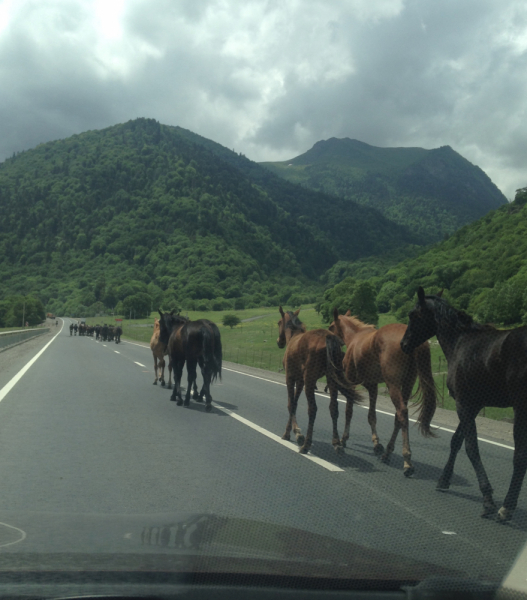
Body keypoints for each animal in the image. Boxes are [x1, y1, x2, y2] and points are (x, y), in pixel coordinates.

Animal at [276, 308, 364, 452]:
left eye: (279, 322)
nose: (279, 342)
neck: (294, 338)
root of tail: (328, 338)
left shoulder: (290, 378)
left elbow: (291, 404)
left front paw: (291, 433)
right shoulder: (300, 381)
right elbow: (294, 403)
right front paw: (296, 432)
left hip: (310, 381)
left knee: (312, 409)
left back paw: (306, 444)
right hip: (331, 380)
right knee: (334, 408)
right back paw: (337, 443)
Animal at [330, 310, 438, 478]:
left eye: (331, 327)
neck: (355, 337)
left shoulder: (351, 383)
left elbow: (349, 411)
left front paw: (344, 439)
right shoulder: (372, 387)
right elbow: (371, 416)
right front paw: (376, 444)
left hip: (393, 385)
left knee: (402, 412)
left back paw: (407, 461)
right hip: (407, 384)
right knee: (398, 418)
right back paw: (387, 452)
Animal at [400, 288, 527, 524]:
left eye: (413, 315)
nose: (403, 344)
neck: (460, 342)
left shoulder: (464, 404)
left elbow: (471, 448)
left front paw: (487, 499)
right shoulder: (473, 405)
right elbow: (456, 441)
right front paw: (444, 480)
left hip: (521, 410)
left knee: (520, 457)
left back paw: (506, 507)